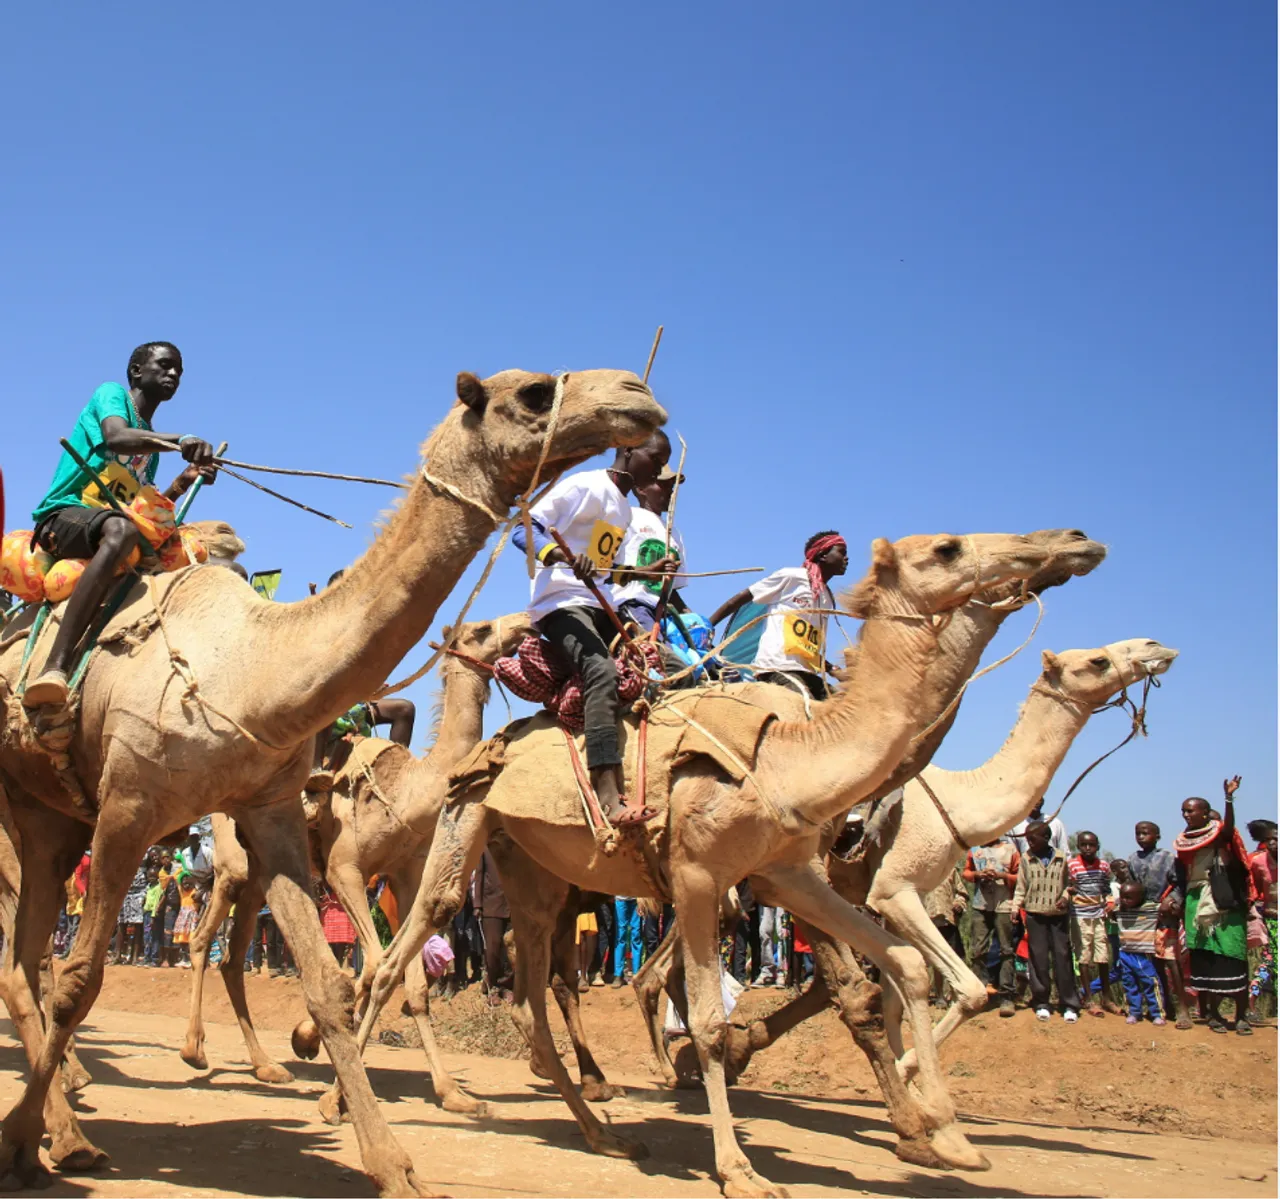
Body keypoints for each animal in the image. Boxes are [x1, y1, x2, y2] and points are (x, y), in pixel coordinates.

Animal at [180, 612, 533, 1116]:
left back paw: (266, 1066)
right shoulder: (343, 871)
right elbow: (372, 965)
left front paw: (453, 1093)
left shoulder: (403, 877)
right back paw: (195, 1050)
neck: (409, 794)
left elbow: (412, 985)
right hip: (233, 864)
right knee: (201, 941)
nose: (525, 623)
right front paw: (319, 1060)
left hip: (259, 878)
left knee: (231, 958)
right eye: (481, 629)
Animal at [349, 530, 1053, 1198]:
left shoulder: (786, 873)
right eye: (948, 548)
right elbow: (730, 1017)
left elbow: (897, 969)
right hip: (467, 825)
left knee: (531, 999)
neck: (795, 754)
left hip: (534, 869)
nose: (1063, 545)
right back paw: (358, 1102)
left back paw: (605, 1133)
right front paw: (741, 1168)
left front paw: (944, 1132)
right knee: (406, 948)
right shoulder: (702, 876)